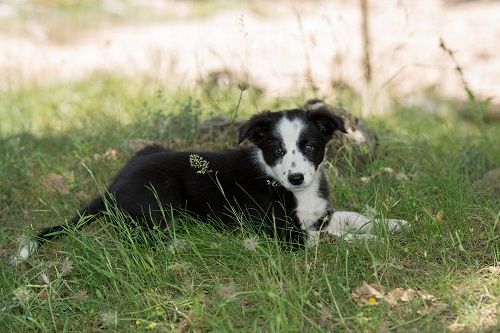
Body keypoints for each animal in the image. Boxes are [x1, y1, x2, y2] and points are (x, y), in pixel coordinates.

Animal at [14, 106, 406, 262]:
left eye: (309, 146)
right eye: (277, 149)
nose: (296, 177)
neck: (291, 190)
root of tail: (113, 184)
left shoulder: (318, 215)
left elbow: (352, 217)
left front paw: (393, 224)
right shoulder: (278, 232)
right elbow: (332, 237)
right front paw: (370, 242)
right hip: (160, 200)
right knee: (142, 234)